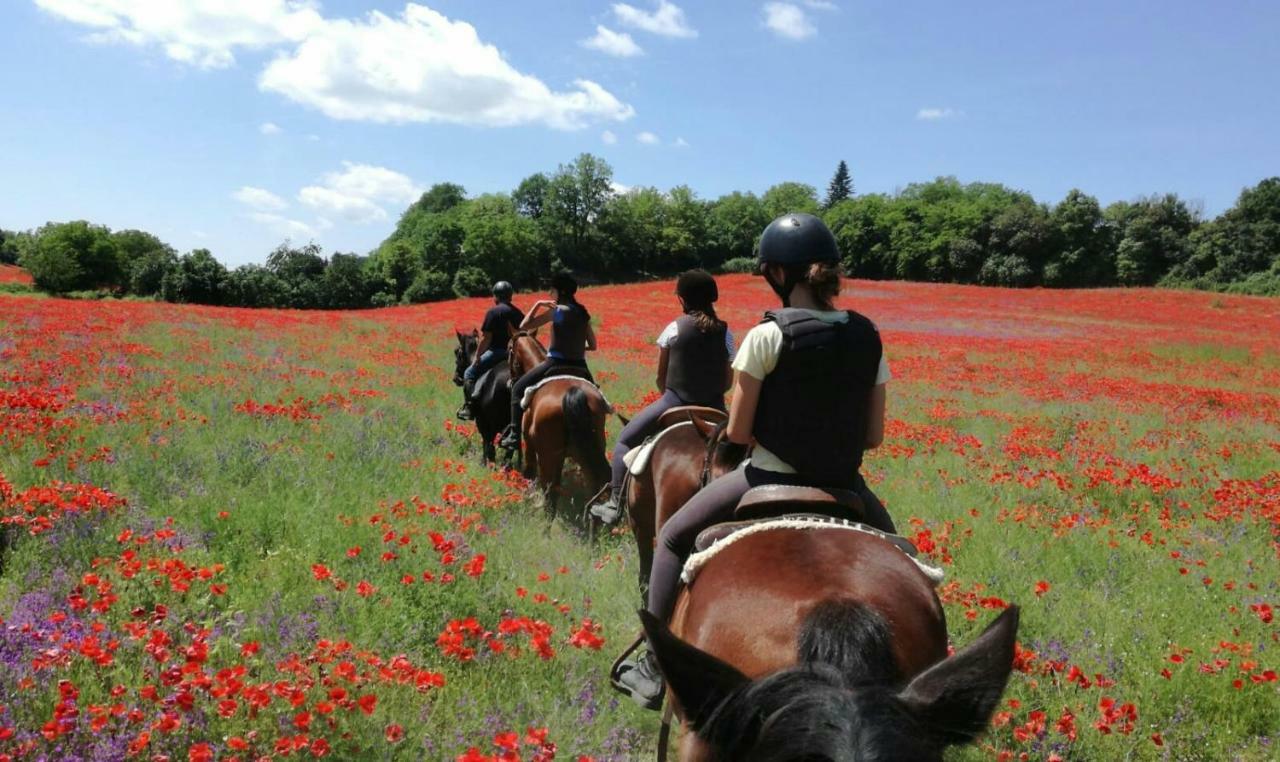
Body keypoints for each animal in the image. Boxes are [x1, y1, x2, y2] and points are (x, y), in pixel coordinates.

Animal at [506, 332, 611, 514]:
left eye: (509, 350)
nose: (510, 381)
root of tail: (574, 393)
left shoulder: (530, 445)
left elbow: (530, 472)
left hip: (547, 454)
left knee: (550, 490)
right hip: (586, 452)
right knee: (592, 486)